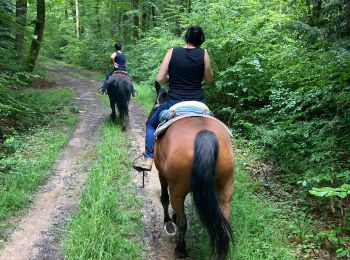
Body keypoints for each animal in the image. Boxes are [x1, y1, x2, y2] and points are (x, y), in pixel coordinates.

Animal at [152, 82, 234, 258]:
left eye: (159, 97)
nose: (155, 106)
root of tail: (204, 134)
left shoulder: (162, 175)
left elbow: (164, 199)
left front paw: (168, 221)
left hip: (177, 189)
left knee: (183, 221)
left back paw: (180, 249)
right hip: (226, 186)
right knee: (223, 225)